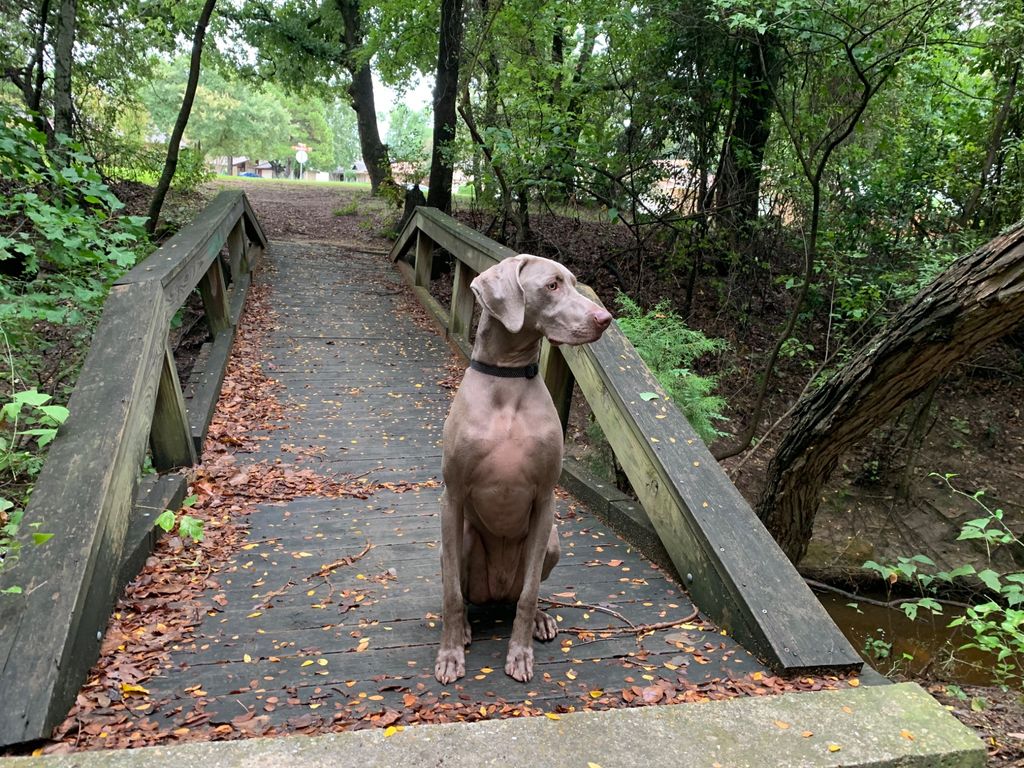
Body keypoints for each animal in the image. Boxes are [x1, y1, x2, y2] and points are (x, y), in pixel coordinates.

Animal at [434, 253, 610, 684]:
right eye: (551, 285)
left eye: (575, 282)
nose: (605, 318)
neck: (508, 381)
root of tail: (496, 594)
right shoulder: (452, 497)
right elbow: (451, 593)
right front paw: (449, 655)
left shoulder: (545, 500)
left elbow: (529, 594)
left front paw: (520, 653)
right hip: (460, 538)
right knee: (463, 591)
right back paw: (465, 628)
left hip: (552, 541)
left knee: (521, 594)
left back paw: (541, 619)